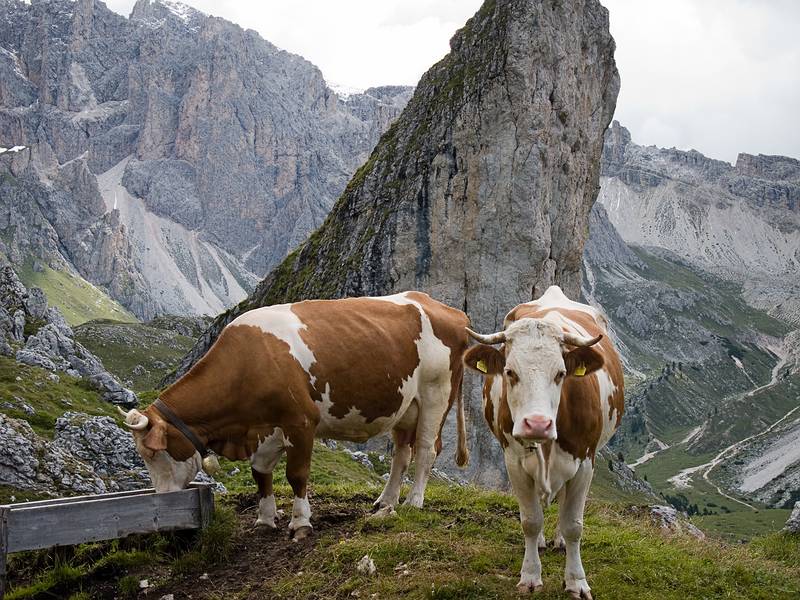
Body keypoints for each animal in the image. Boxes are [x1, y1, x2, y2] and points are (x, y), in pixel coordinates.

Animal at [118, 290, 468, 540]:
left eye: (153, 453)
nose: (164, 500)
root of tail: (445, 309)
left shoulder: (300, 422)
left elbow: (296, 475)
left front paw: (300, 522)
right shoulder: (263, 428)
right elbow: (260, 472)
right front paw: (264, 519)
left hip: (436, 395)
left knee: (426, 451)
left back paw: (414, 502)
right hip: (405, 407)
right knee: (401, 455)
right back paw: (386, 501)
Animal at [462, 286, 624, 596]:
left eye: (560, 373)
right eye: (510, 372)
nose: (537, 423)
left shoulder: (585, 462)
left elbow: (574, 524)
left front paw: (576, 581)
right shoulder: (514, 461)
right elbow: (530, 520)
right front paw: (530, 576)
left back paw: (559, 540)